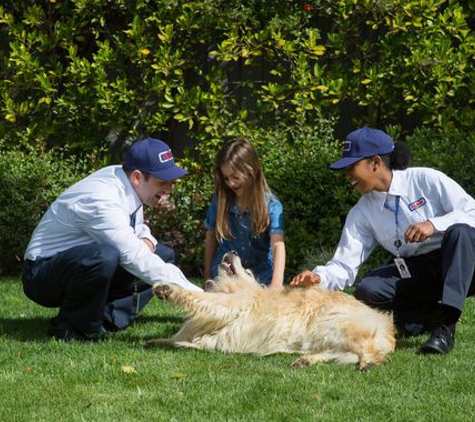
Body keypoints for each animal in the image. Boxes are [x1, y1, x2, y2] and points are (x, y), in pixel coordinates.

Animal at [145, 251, 398, 370]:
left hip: (337, 324)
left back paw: (368, 363)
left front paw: (168, 289)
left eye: (247, 270)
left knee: (367, 351)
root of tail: (386, 326)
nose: (233, 250)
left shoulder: (226, 305)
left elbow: (196, 297)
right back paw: (305, 360)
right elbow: (176, 340)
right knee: (338, 353)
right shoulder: (205, 337)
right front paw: (156, 341)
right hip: (328, 335)